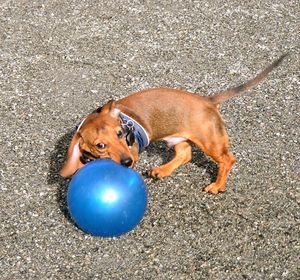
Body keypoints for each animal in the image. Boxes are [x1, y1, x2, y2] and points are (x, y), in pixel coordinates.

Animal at [59, 55, 288, 195]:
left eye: (120, 133)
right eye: (100, 145)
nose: (128, 162)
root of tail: (208, 100)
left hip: (209, 141)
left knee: (227, 159)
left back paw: (216, 186)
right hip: (180, 139)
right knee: (185, 155)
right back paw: (162, 170)